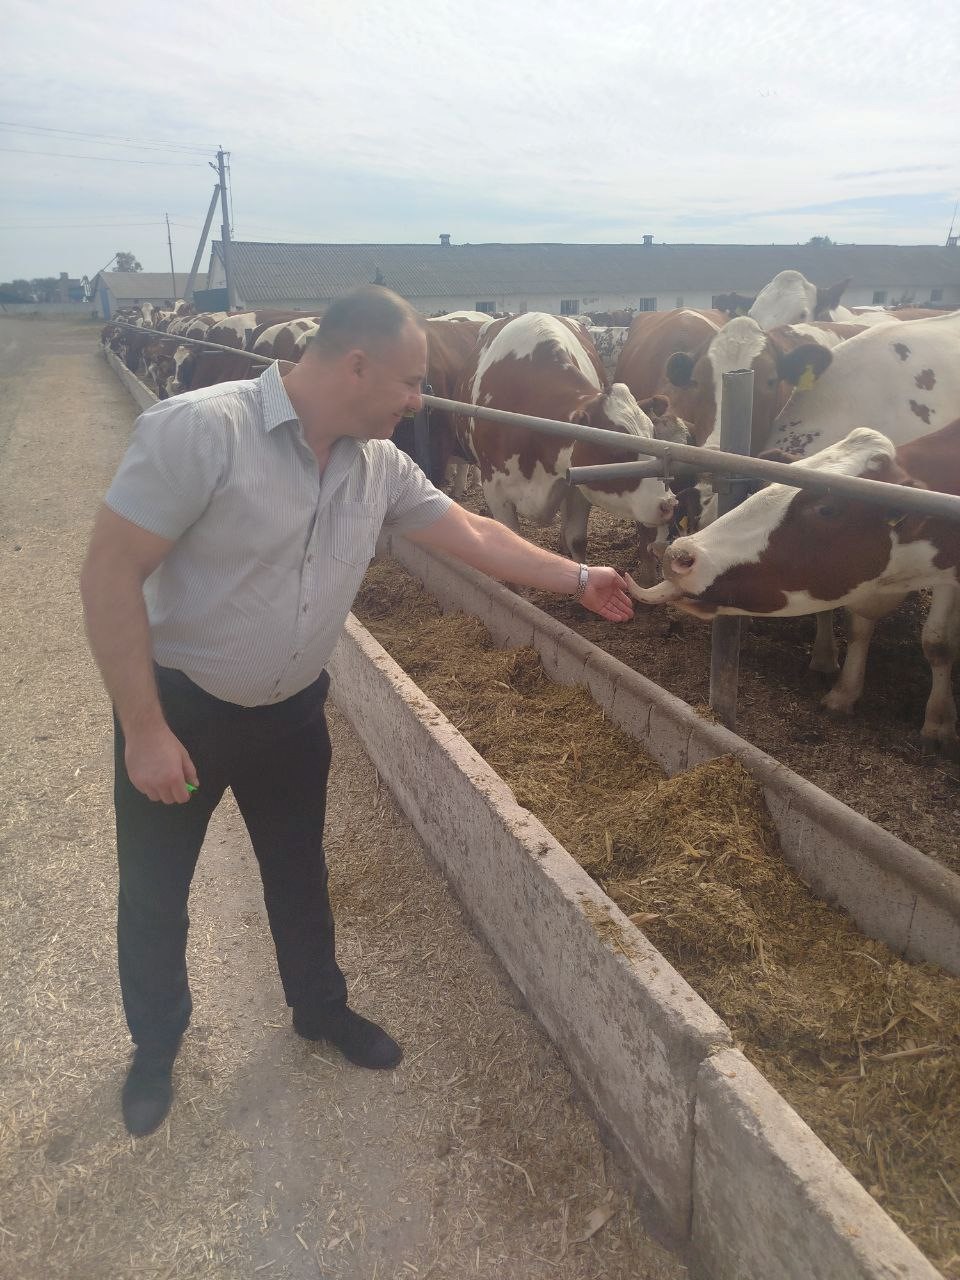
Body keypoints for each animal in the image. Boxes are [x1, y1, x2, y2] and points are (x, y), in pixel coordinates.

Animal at [456, 313, 677, 560]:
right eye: (615, 450)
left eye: (652, 437)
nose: (668, 503)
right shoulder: (496, 490)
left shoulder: (577, 486)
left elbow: (577, 539)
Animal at [626, 423, 960, 755]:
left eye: (827, 509)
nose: (678, 555)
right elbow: (859, 629)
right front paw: (843, 694)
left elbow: (936, 643)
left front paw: (937, 724)